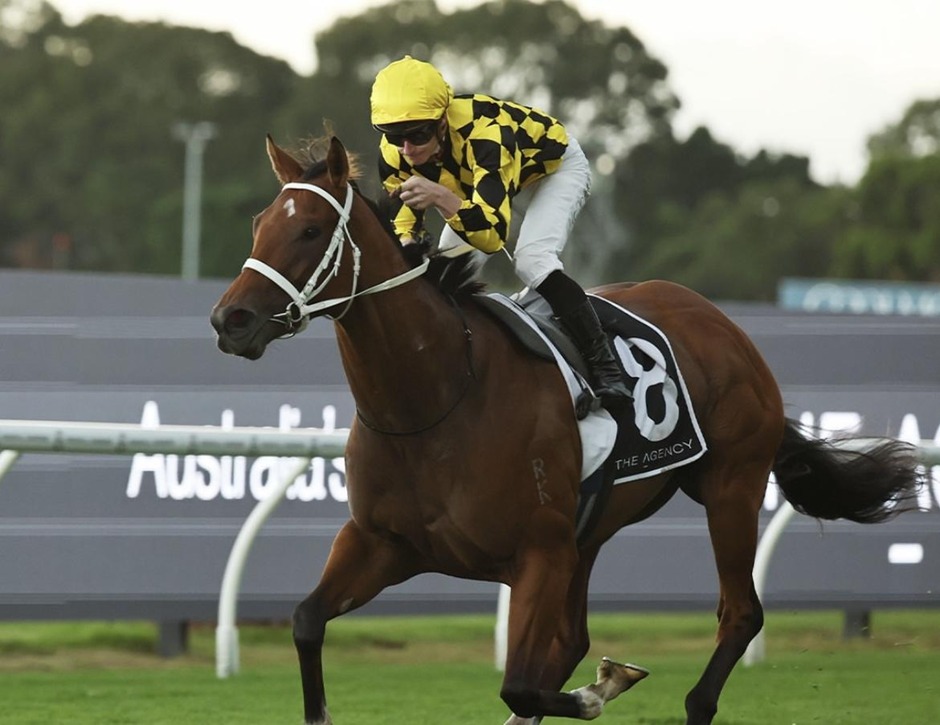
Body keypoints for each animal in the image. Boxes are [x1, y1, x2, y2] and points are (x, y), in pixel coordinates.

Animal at [210, 135, 922, 725]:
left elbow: (522, 685)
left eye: (309, 229)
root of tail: (720, 321)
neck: (435, 402)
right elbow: (306, 621)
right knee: (576, 637)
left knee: (739, 614)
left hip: (730, 486)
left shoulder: (539, 553)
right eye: (259, 224)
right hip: (595, 526)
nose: (230, 320)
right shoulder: (383, 543)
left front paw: (605, 686)